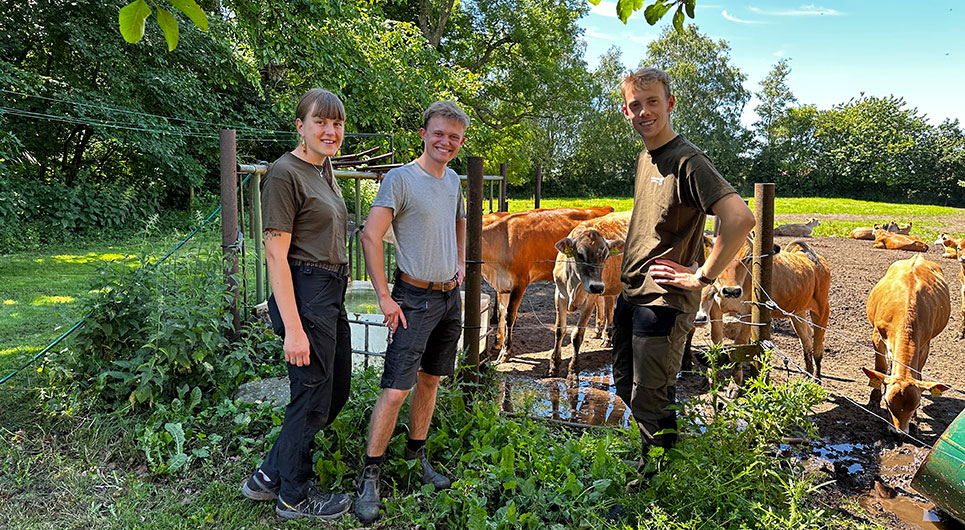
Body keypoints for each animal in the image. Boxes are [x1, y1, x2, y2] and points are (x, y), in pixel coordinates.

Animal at [480, 204, 612, 360]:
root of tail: (603, 207)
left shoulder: (520, 282)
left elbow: (509, 316)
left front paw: (505, 351)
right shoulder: (502, 283)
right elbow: (501, 313)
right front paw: (497, 345)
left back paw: (607, 337)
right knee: (600, 299)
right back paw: (598, 331)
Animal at [548, 208, 632, 378]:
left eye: (606, 256)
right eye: (580, 255)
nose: (597, 287)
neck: (574, 284)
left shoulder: (590, 300)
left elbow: (577, 335)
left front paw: (573, 369)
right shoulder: (559, 295)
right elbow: (560, 329)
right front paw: (554, 365)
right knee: (609, 305)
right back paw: (605, 336)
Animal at [860, 254, 948, 432]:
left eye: (916, 405)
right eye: (887, 403)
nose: (899, 432)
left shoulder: (924, 343)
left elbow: (918, 371)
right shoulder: (877, 335)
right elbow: (880, 369)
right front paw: (873, 401)